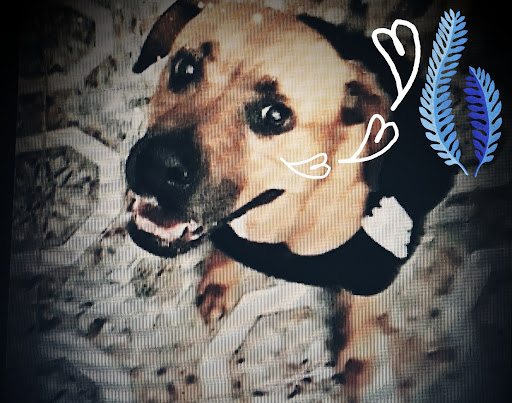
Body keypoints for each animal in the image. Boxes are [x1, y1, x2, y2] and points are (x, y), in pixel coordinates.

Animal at [125, 0, 454, 399]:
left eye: (275, 115)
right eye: (185, 68)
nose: (157, 166)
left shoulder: (374, 268)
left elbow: (361, 315)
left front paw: (360, 365)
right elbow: (227, 251)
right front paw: (221, 278)